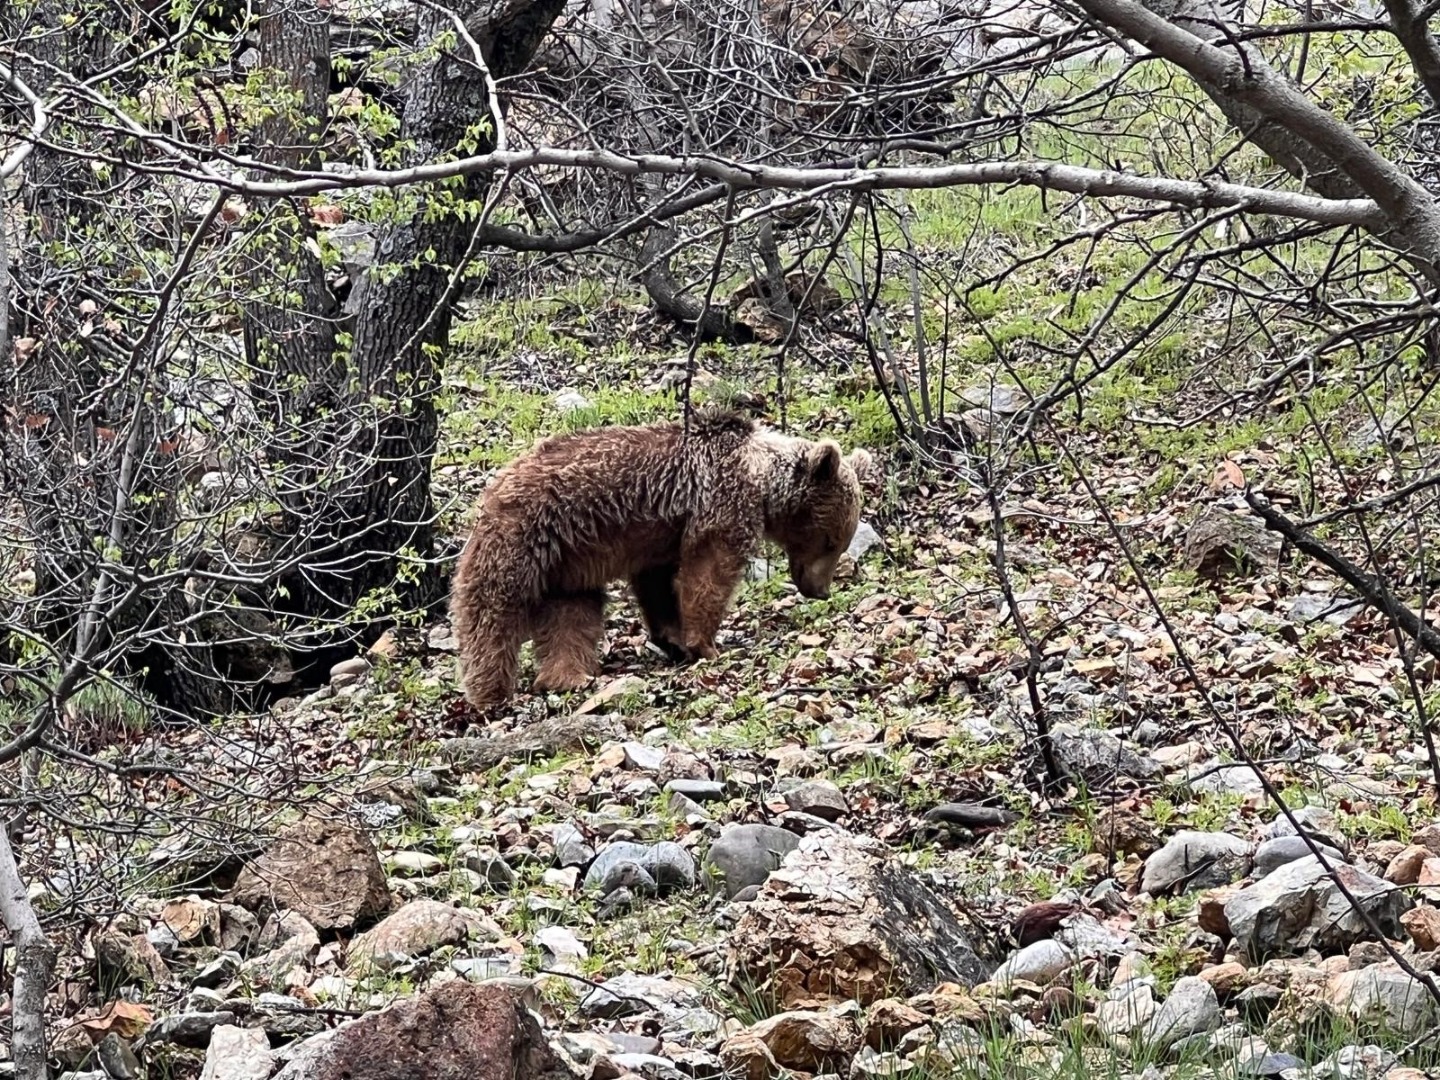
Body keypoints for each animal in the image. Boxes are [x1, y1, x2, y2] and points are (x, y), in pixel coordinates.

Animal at [449, 408, 869, 705]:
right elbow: (708, 572)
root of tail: (494, 487)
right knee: (492, 611)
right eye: (832, 541)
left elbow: (658, 586)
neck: (763, 481)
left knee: (571, 617)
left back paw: (569, 675)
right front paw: (705, 644)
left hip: (567, 565)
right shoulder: (721, 503)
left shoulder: (660, 539)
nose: (820, 589)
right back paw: (490, 690)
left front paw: (674, 637)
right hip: (524, 538)